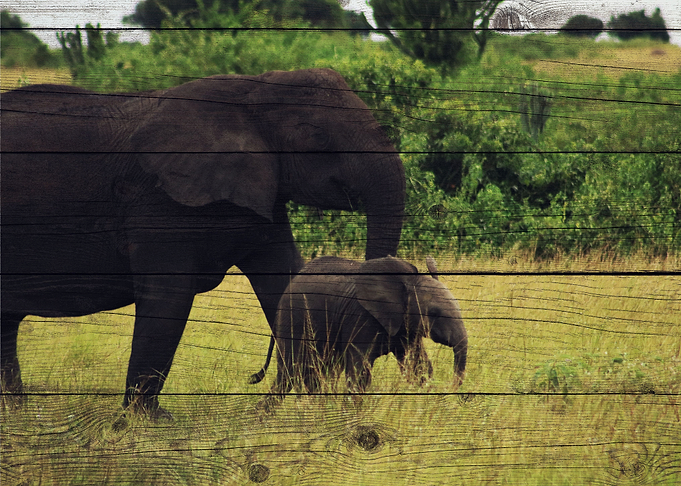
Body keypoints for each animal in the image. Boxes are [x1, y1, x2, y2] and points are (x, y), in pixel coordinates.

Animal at [0, 68, 406, 418]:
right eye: (318, 140)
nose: (254, 381)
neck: (253, 89)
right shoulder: (160, 201)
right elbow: (169, 299)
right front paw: (150, 423)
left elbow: (288, 281)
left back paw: (19, 415)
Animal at [255, 256, 467, 410]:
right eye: (434, 313)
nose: (448, 389)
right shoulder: (361, 317)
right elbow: (360, 371)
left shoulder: (405, 326)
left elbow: (418, 366)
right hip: (294, 319)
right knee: (290, 372)